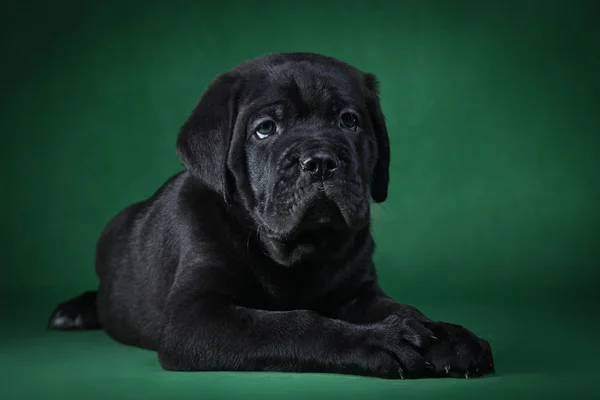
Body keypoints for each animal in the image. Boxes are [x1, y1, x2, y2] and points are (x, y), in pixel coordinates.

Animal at [49, 51, 494, 380]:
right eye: (265, 129)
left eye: (349, 121)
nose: (320, 162)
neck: (298, 251)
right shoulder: (194, 319)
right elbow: (288, 324)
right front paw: (376, 342)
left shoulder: (358, 292)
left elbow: (404, 310)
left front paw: (448, 335)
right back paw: (74, 311)